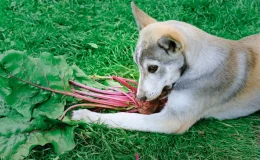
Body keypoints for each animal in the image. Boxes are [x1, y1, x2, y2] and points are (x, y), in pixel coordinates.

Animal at [71, 2, 260, 134]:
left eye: (153, 68)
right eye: (137, 65)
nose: (140, 98)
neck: (194, 67)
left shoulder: (172, 120)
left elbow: (125, 117)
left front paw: (85, 115)